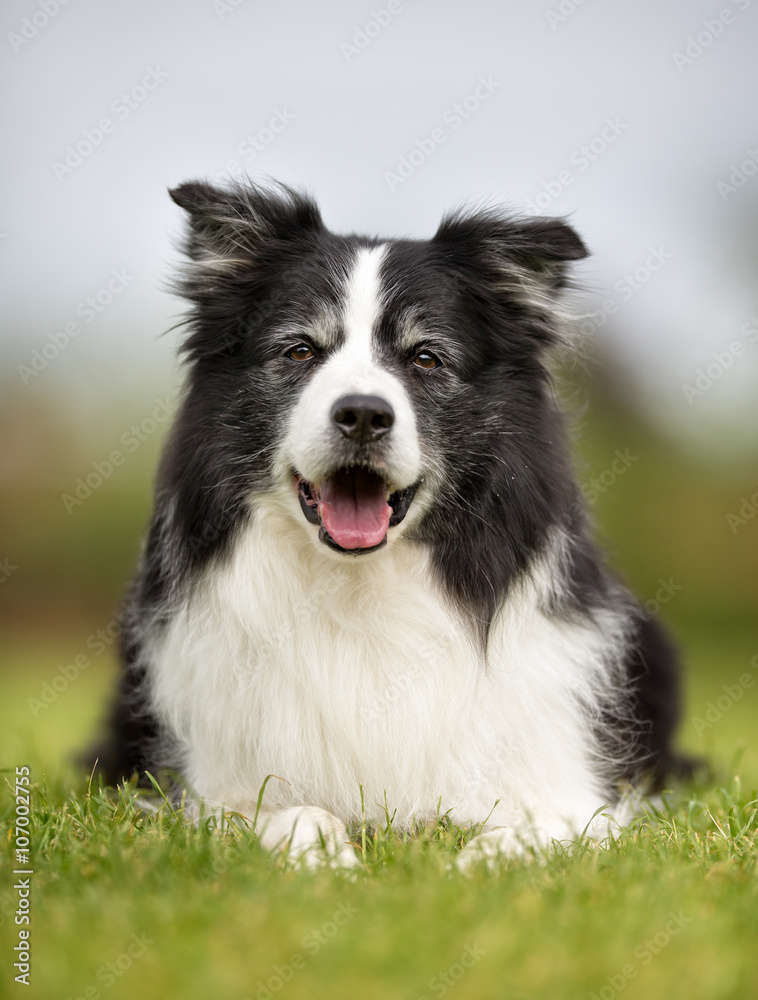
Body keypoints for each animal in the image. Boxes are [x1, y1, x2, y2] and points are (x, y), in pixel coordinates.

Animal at [92, 180, 692, 868]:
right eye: (299, 350)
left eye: (426, 358)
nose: (362, 415)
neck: (363, 587)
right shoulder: (208, 786)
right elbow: (278, 812)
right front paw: (323, 857)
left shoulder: (568, 787)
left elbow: (534, 829)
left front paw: (477, 865)